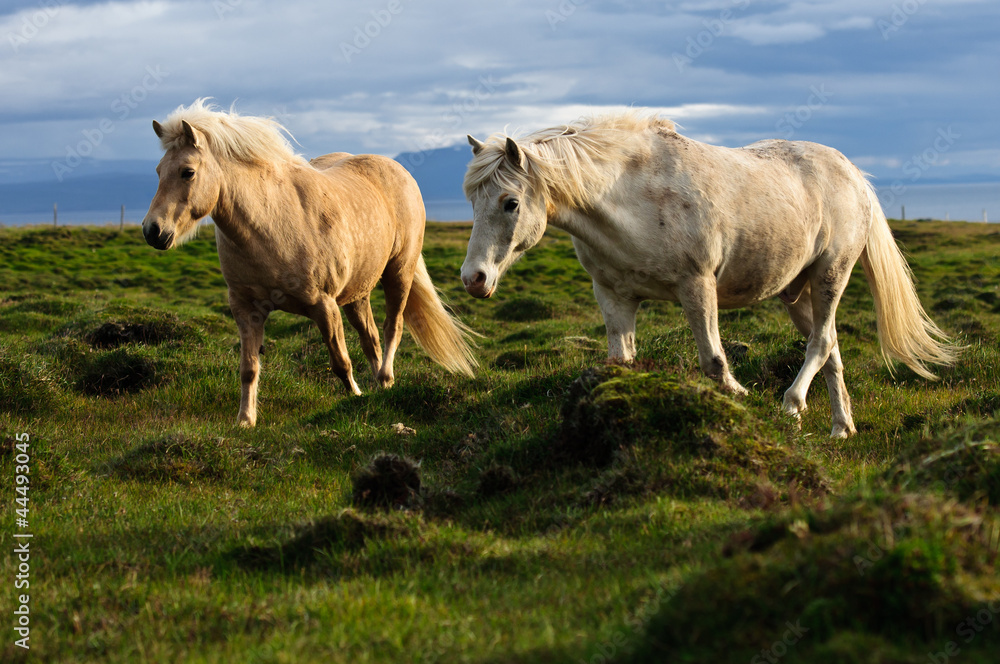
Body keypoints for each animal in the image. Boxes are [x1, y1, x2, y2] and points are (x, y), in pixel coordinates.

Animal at [142, 99, 477, 427]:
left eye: (187, 172)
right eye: (158, 170)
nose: (152, 231)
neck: (270, 224)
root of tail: (398, 169)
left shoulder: (323, 306)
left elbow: (341, 362)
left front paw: (356, 397)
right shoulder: (246, 309)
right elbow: (248, 368)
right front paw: (246, 420)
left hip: (398, 273)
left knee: (392, 327)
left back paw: (385, 378)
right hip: (357, 293)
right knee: (370, 338)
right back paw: (380, 387)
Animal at [461, 111, 957, 438]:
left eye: (510, 202)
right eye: (471, 201)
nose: (473, 279)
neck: (629, 198)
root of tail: (852, 172)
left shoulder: (696, 284)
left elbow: (715, 362)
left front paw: (739, 399)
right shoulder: (614, 295)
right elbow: (621, 364)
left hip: (829, 275)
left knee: (820, 343)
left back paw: (791, 406)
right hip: (797, 293)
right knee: (831, 346)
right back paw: (841, 428)